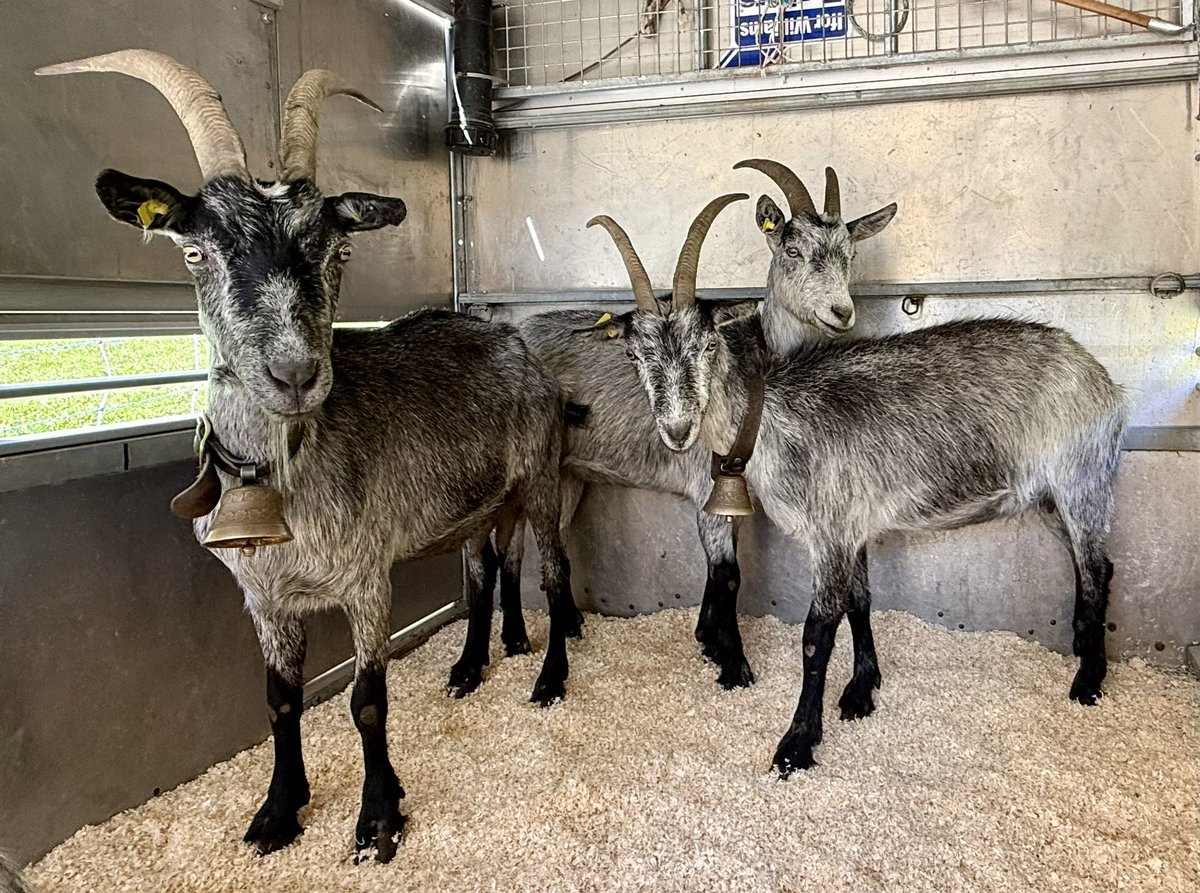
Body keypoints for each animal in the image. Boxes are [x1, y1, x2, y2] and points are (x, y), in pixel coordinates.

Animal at [39, 50, 578, 861]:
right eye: (195, 251)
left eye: (338, 249)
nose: (295, 373)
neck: (282, 478)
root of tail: (512, 341)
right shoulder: (260, 596)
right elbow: (280, 700)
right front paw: (278, 811)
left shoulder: (366, 577)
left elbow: (367, 699)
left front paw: (378, 819)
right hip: (476, 502)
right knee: (489, 570)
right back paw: (475, 660)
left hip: (540, 475)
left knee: (550, 565)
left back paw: (547, 675)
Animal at [452, 163, 896, 694]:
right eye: (793, 250)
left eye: (851, 255)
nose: (841, 313)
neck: (753, 355)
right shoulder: (709, 481)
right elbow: (728, 573)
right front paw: (733, 663)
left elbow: (721, 565)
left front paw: (707, 638)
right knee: (486, 553)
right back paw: (475, 664)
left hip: (565, 475)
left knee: (522, 544)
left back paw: (528, 635)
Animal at [592, 195, 1127, 775]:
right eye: (634, 356)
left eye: (708, 345)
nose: (677, 429)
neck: (771, 418)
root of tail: (1099, 375)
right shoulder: (852, 527)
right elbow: (860, 603)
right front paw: (861, 691)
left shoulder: (829, 531)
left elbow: (816, 635)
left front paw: (797, 743)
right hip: (1052, 498)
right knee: (1089, 564)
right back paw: (1082, 651)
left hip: (1082, 477)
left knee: (1096, 567)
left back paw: (1088, 681)